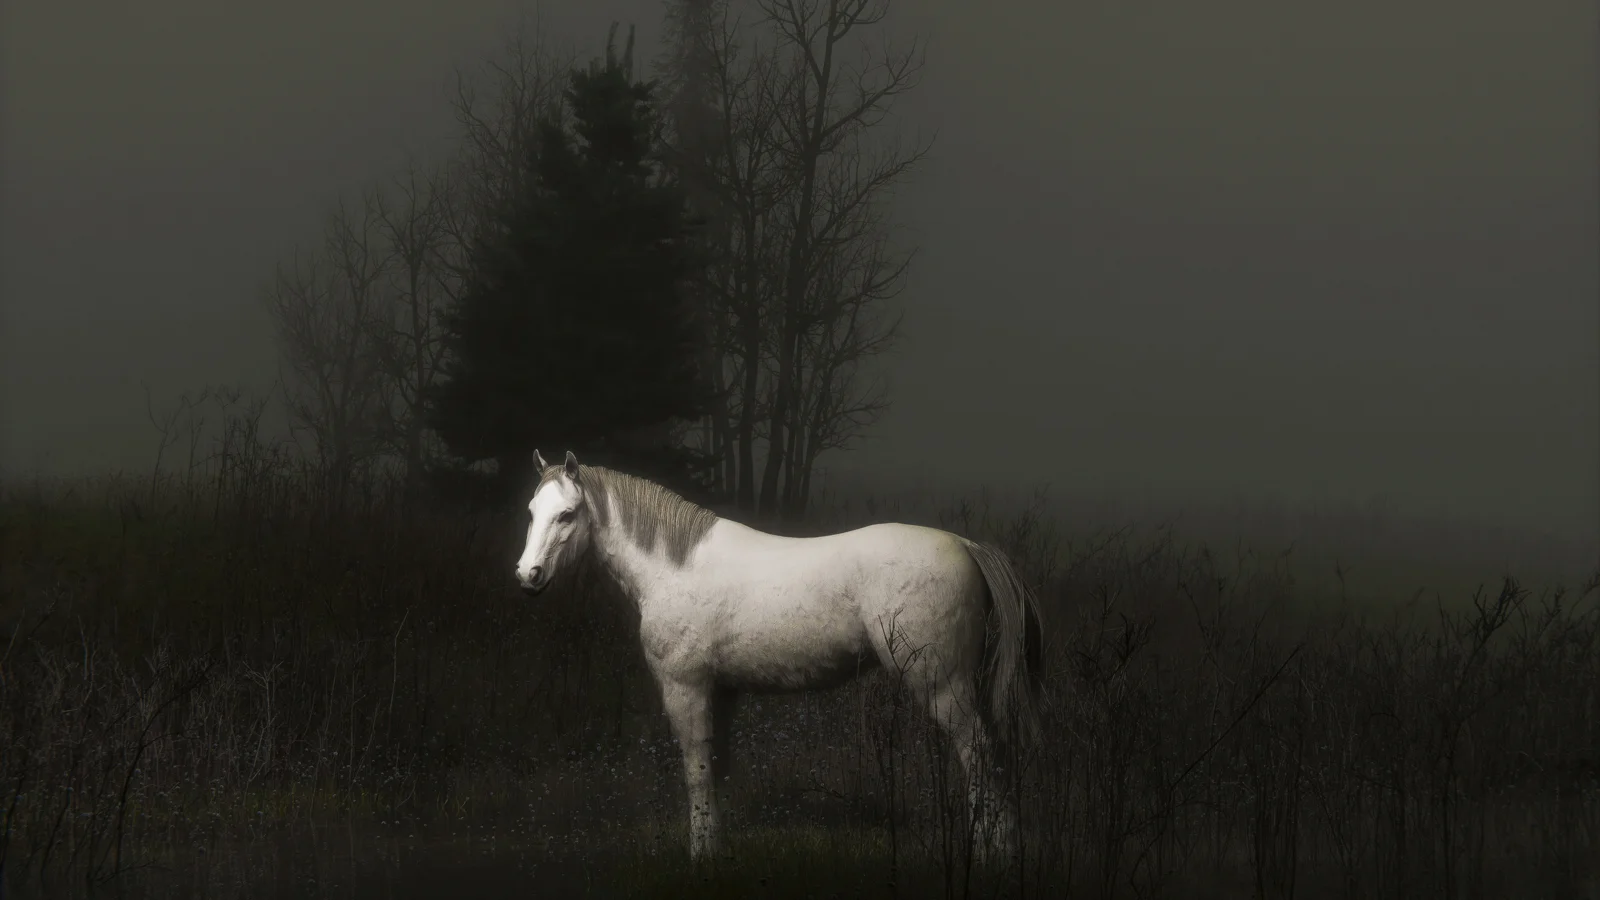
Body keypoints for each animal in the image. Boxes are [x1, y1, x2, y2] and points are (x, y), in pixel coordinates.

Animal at [514, 450, 1044, 862]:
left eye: (567, 515)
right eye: (532, 511)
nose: (528, 575)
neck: (675, 566)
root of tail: (968, 546)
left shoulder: (686, 689)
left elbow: (696, 772)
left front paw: (700, 856)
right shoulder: (722, 693)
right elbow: (716, 768)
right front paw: (718, 851)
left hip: (943, 686)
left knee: (979, 755)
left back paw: (992, 852)